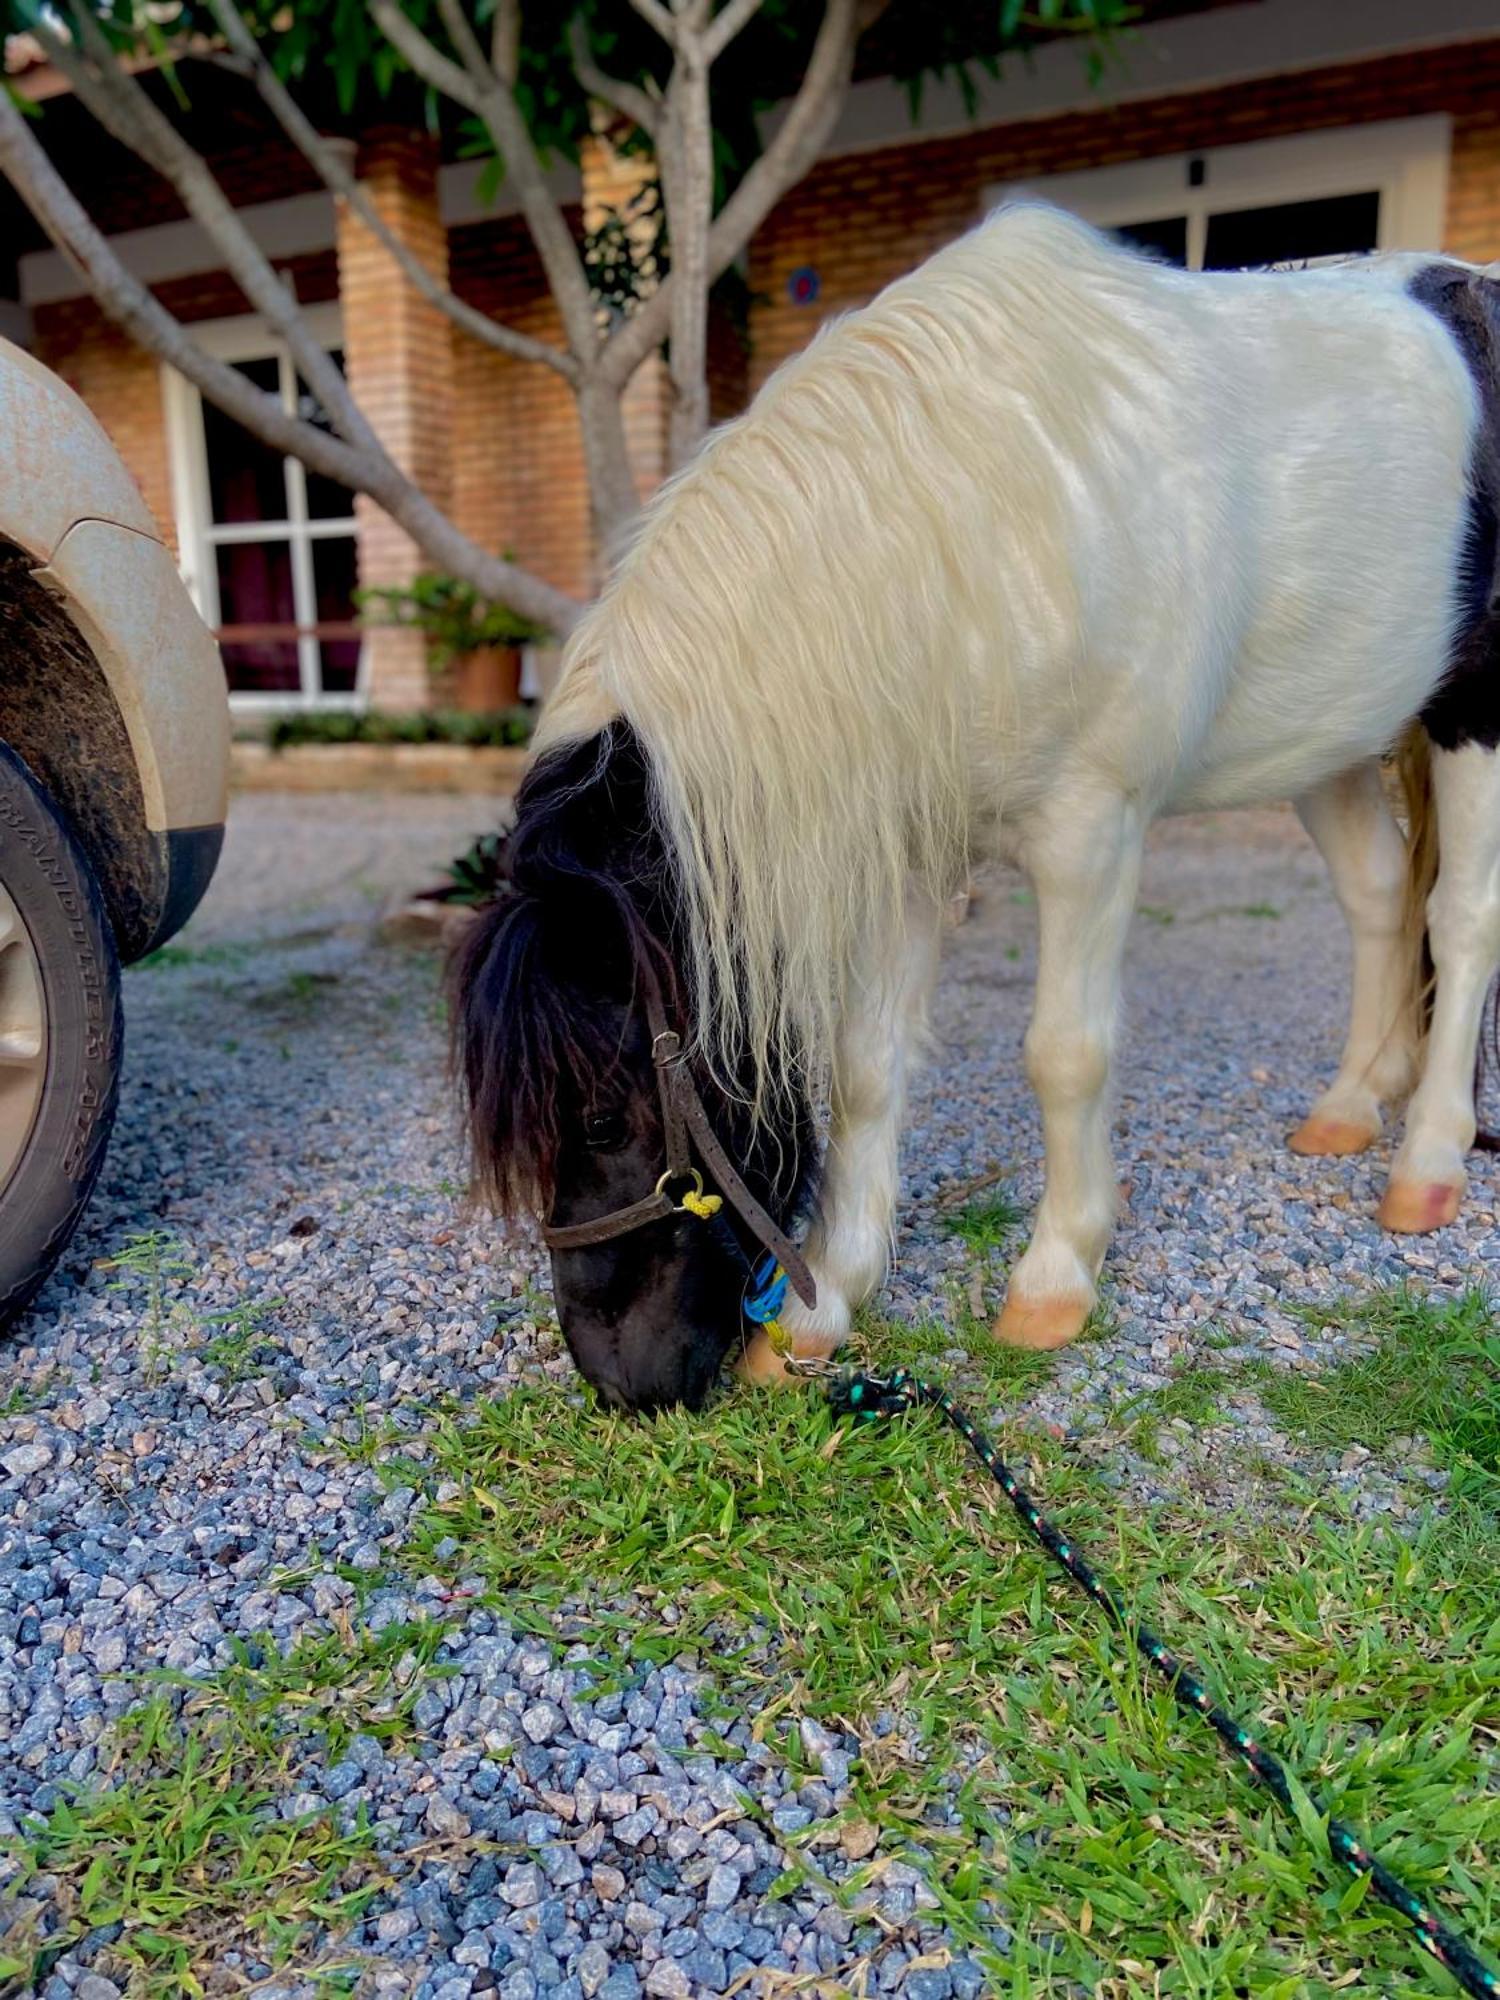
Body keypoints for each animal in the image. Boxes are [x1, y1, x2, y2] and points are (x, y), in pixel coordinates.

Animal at [456, 207, 1500, 1408]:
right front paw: (824, 1306)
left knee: (1460, 924)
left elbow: (1065, 1053)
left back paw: (1426, 1163)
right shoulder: (907, 847)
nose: (624, 1382)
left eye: (599, 1115)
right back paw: (1348, 1108)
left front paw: (1055, 1279)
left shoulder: (1091, 832)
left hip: (1474, 714)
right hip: (1329, 738)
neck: (989, 533)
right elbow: (867, 1070)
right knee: (1379, 900)